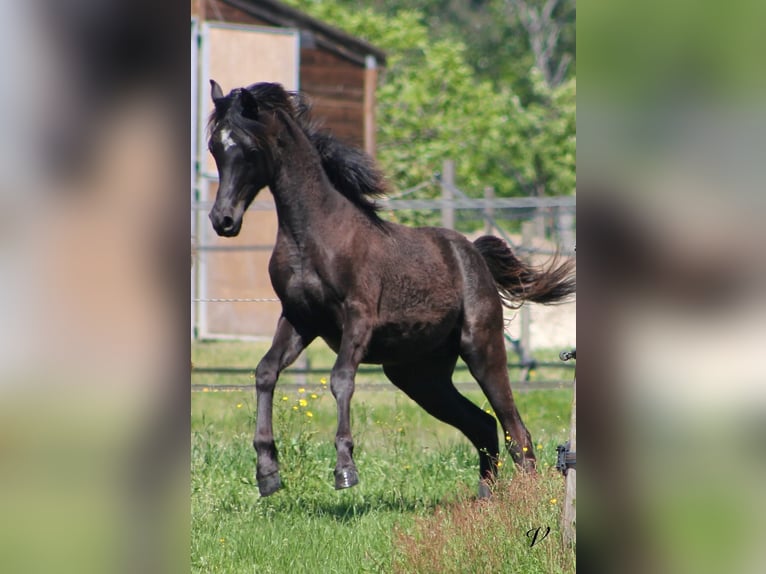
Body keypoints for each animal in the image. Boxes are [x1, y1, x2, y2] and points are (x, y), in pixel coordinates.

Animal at [206, 80, 576, 498]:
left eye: (249, 148)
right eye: (214, 147)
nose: (223, 219)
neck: (313, 236)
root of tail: (473, 253)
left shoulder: (358, 316)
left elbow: (341, 379)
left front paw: (345, 469)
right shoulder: (300, 319)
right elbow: (265, 372)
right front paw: (267, 472)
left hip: (482, 348)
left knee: (517, 432)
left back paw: (523, 500)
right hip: (419, 376)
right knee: (483, 425)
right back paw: (484, 500)